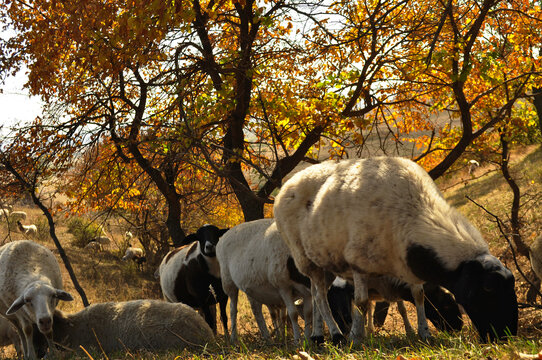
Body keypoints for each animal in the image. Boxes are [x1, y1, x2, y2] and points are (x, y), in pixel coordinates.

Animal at [276, 157, 520, 344]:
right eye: (487, 290)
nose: (505, 336)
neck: (415, 211)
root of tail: (291, 181)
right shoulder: (358, 263)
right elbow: (362, 302)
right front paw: (355, 338)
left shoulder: (404, 265)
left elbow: (418, 296)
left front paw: (424, 334)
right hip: (305, 259)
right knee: (319, 297)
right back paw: (333, 335)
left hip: (325, 262)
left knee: (318, 296)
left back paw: (318, 335)